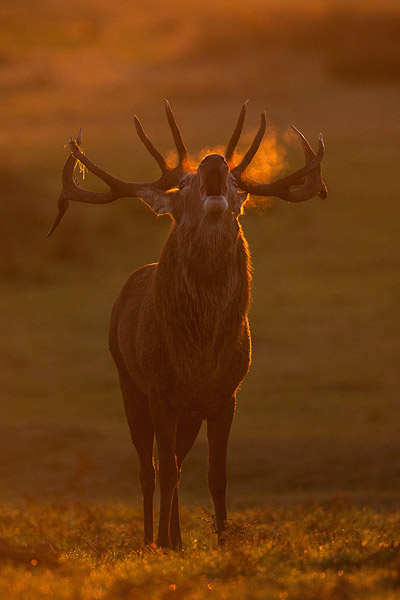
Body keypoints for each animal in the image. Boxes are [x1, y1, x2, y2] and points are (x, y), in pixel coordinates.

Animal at [48, 102, 326, 548]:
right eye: (184, 184)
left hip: (188, 412)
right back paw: (152, 539)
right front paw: (162, 543)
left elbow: (216, 477)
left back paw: (176, 539)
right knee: (151, 469)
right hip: (128, 381)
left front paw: (223, 541)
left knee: (175, 461)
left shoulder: (225, 394)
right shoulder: (160, 389)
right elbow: (165, 473)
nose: (214, 162)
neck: (199, 355)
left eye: (232, 181)